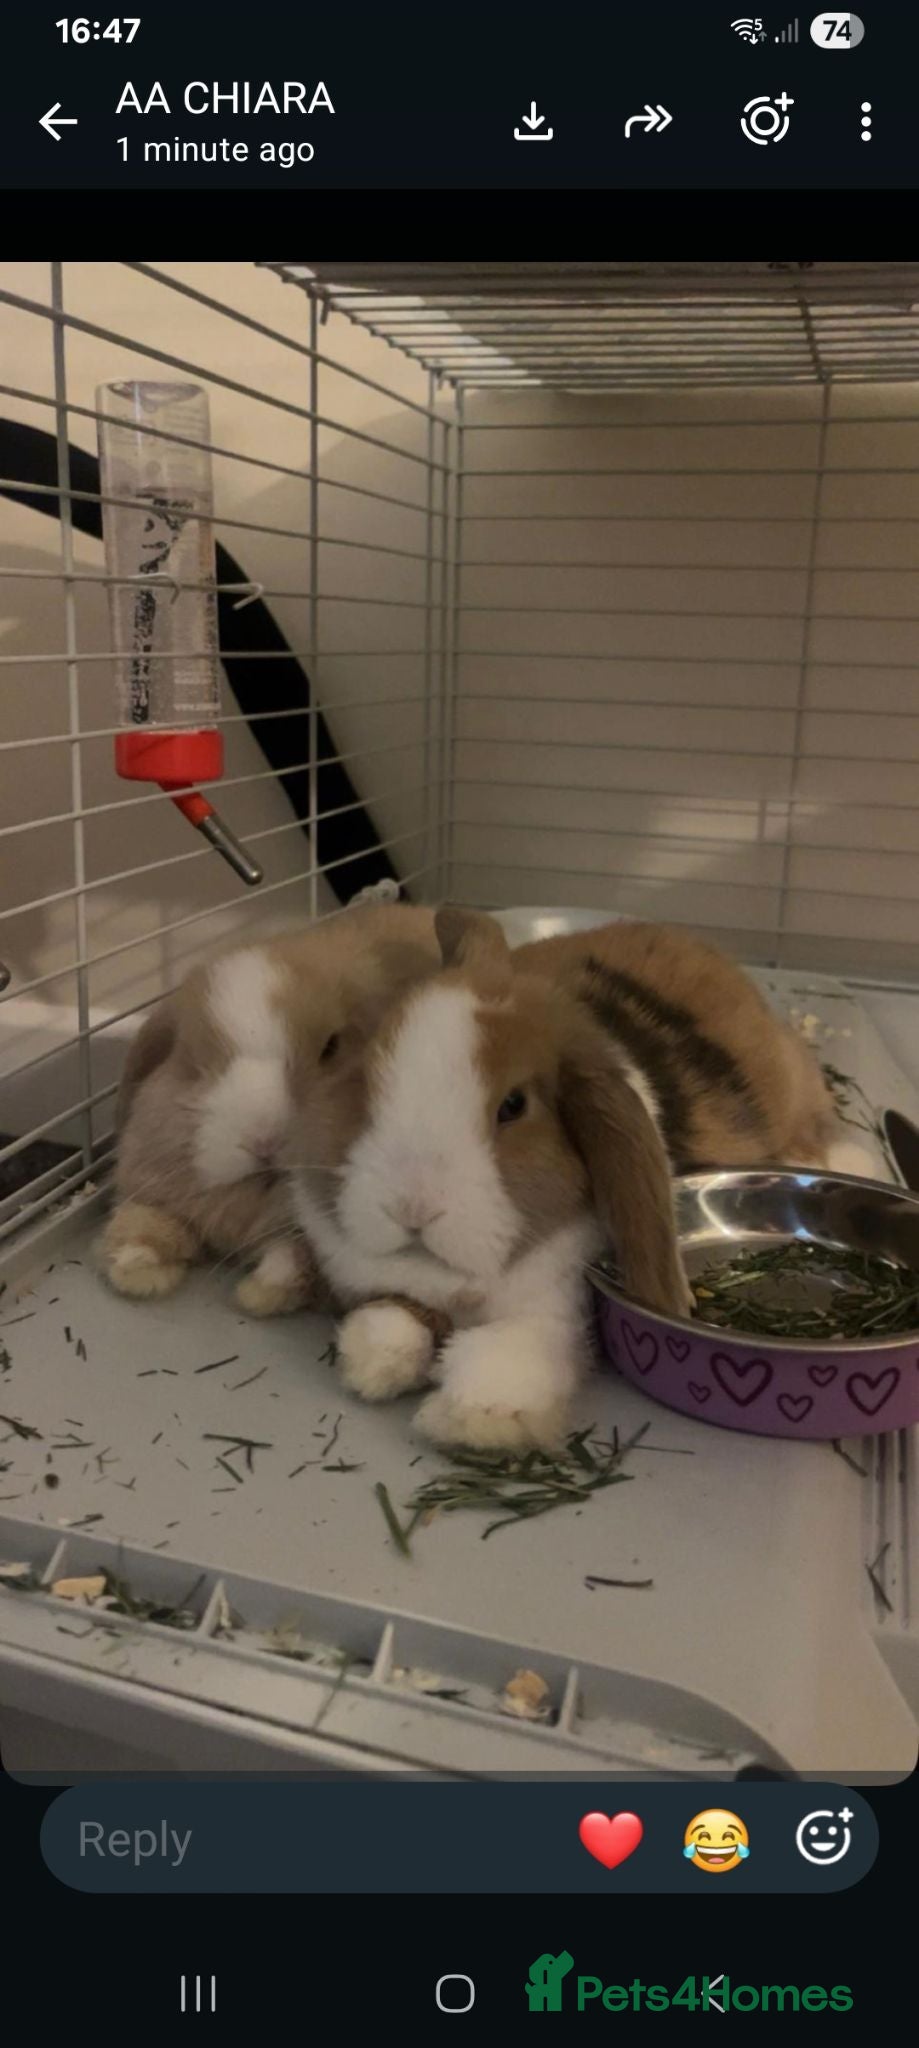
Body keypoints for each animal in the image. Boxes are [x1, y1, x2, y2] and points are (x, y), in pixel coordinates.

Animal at [97, 903, 439, 1314]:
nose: (263, 1141)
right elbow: (142, 1222)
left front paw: (255, 1294)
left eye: (331, 1048)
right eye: (194, 1063)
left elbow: (290, 1257)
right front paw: (135, 1270)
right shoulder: (155, 1188)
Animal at [288, 906, 845, 1452]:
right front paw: (372, 1365)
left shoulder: (559, 1305)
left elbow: (516, 1348)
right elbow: (395, 1318)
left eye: (514, 1106)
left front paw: (469, 1418)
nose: (411, 1208)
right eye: (368, 1074)